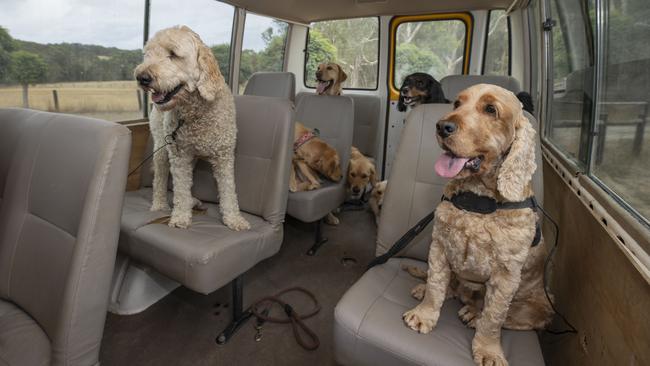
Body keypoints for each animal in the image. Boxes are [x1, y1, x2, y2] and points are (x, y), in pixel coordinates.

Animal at [135, 26, 251, 229]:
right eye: (147, 54)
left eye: (173, 54)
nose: (142, 77)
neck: (195, 111)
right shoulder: (179, 157)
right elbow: (180, 189)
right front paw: (180, 217)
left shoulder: (224, 156)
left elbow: (228, 190)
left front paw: (234, 219)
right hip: (162, 147)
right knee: (159, 178)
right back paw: (160, 204)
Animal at [402, 83, 548, 366]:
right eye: (457, 104)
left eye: (491, 110)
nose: (442, 126)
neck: (478, 198)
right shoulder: (440, 246)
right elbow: (436, 285)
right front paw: (424, 314)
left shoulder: (506, 275)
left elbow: (494, 318)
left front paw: (489, 350)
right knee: (451, 288)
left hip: (539, 307)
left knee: (508, 316)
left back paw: (473, 314)